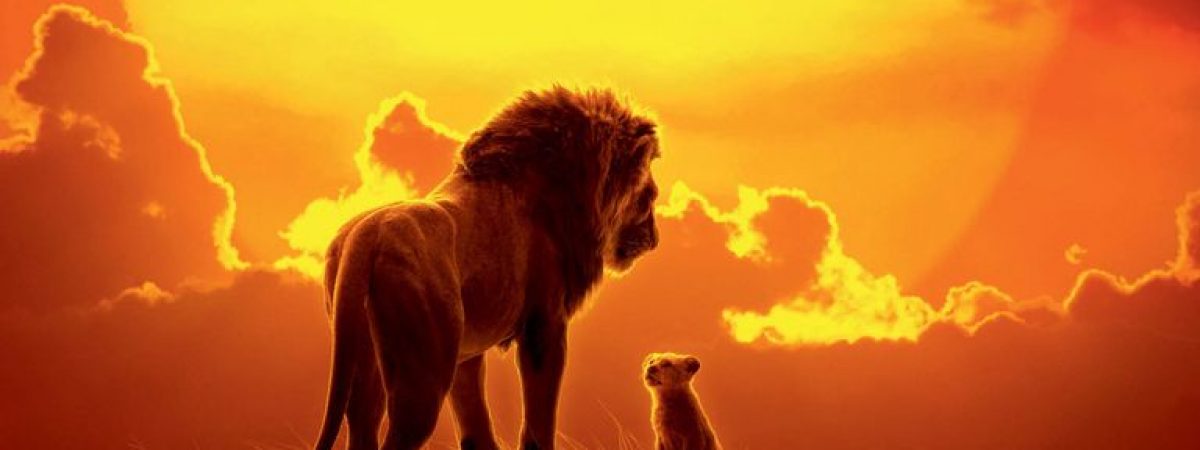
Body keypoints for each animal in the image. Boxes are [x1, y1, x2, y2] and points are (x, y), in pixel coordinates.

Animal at [313, 86, 661, 450]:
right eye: (649, 195)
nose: (655, 238)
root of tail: (364, 236)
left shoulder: (466, 352)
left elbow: (474, 422)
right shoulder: (545, 323)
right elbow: (539, 418)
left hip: (366, 360)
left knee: (362, 424)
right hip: (423, 374)